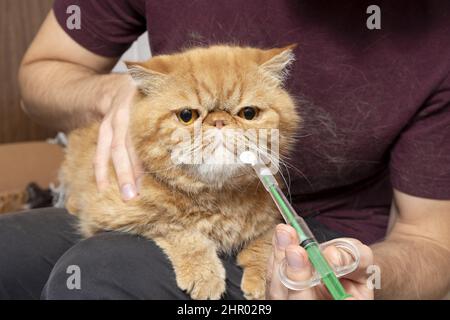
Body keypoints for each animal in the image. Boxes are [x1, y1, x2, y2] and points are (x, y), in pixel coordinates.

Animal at [59, 45, 298, 300]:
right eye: (187, 116)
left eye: (249, 113)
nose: (219, 121)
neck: (220, 200)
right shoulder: (116, 217)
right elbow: (181, 231)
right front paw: (204, 273)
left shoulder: (275, 215)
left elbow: (267, 241)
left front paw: (262, 278)